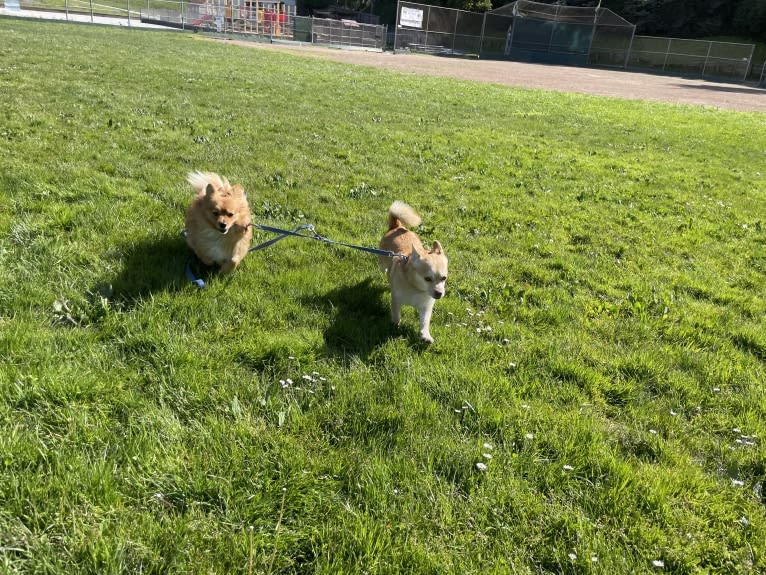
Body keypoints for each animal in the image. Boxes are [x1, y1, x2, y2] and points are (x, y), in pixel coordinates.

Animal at [380, 201, 450, 342]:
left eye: (444, 278)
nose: (439, 293)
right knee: (382, 266)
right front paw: (395, 326)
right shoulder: (396, 300)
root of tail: (397, 227)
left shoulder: (426, 307)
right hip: (382, 258)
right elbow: (396, 315)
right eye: (427, 279)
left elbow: (424, 321)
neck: (416, 288)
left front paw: (425, 335)